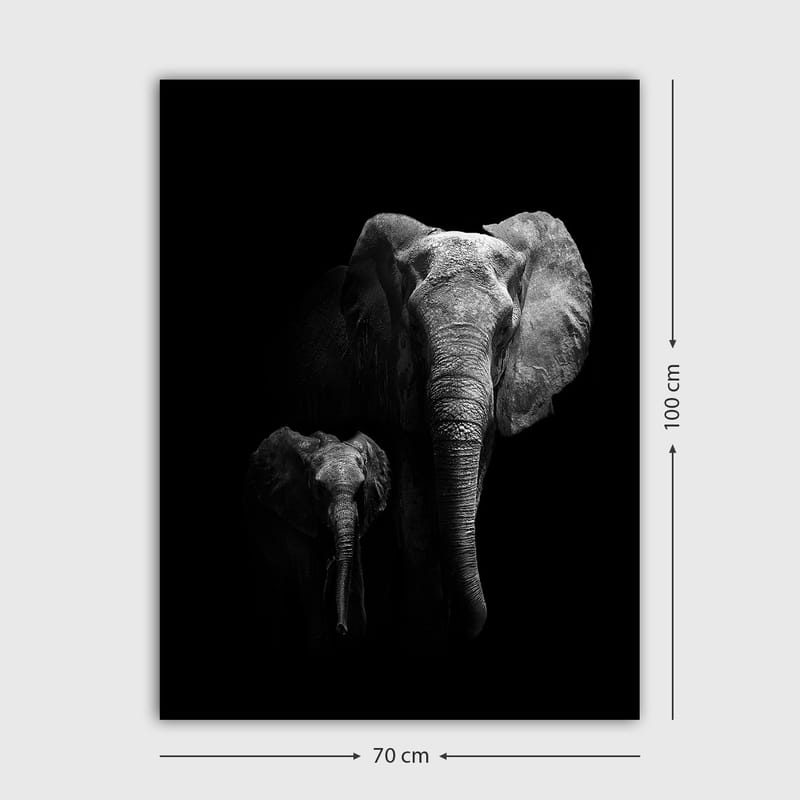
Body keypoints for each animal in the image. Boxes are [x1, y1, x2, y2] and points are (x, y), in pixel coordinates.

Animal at [245, 427, 391, 650]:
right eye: (320, 489)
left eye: (361, 489)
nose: (341, 627)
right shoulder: (296, 508)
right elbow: (310, 577)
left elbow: (354, 573)